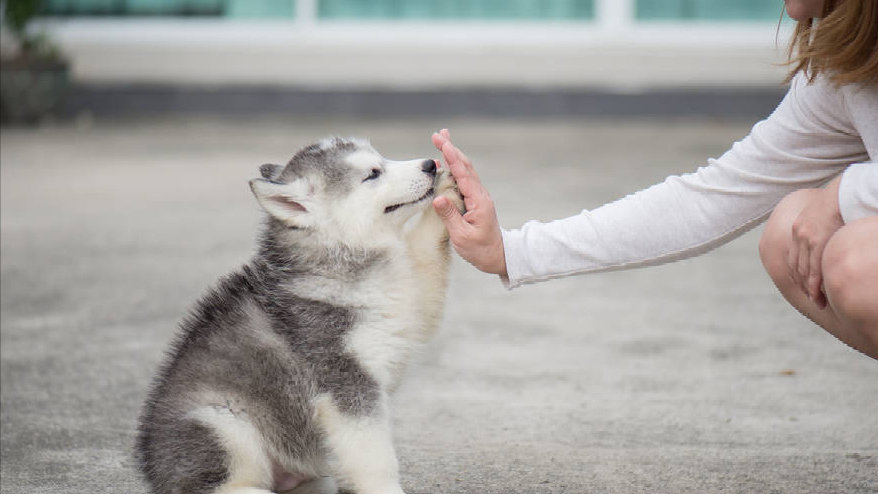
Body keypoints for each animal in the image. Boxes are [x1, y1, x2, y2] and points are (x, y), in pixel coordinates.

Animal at [135, 138, 464, 494]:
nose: (430, 164)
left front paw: (448, 192)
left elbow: (424, 262)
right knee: (212, 485)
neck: (341, 259)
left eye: (382, 157)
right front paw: (385, 488)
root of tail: (152, 469)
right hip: (221, 422)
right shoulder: (344, 380)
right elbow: (373, 455)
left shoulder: (409, 305)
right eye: (373, 173)